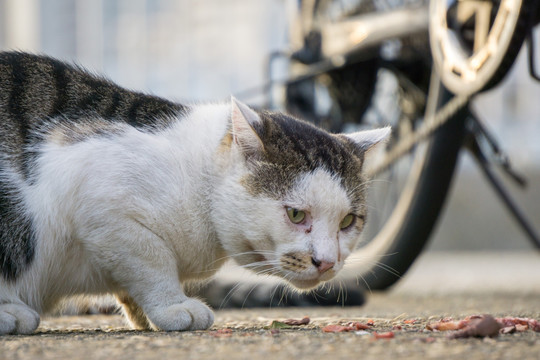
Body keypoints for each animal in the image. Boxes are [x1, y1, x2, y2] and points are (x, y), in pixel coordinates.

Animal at [0, 52, 388, 334]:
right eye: (295, 214)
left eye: (348, 221)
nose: (327, 262)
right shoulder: (96, 191)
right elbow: (150, 259)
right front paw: (173, 305)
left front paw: (144, 315)